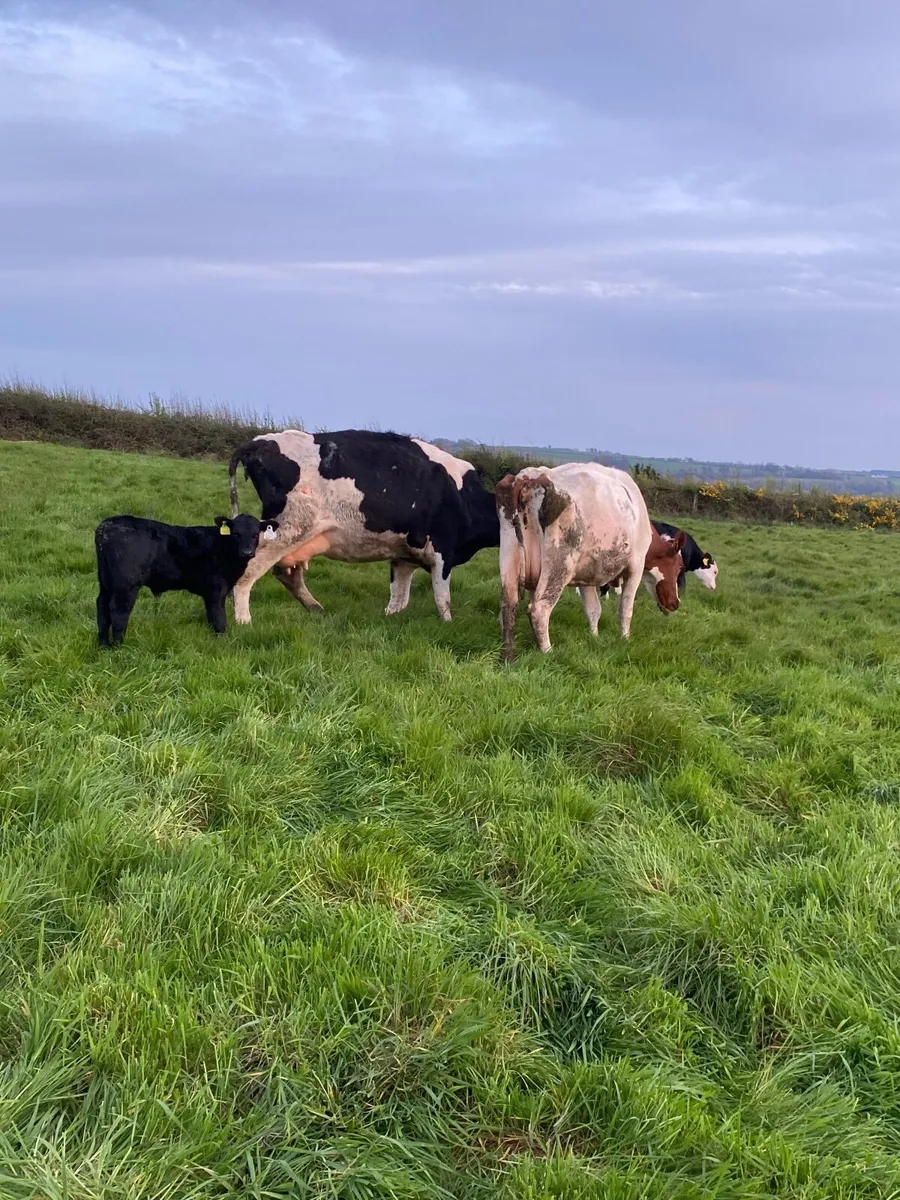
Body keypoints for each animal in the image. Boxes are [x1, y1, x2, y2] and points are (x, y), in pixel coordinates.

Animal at [95, 513, 279, 646]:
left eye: (255, 534)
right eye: (236, 534)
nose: (246, 552)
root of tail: (108, 523)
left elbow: (211, 618)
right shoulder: (216, 591)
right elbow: (218, 619)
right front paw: (222, 643)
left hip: (105, 581)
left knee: (102, 605)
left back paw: (103, 645)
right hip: (126, 585)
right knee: (119, 610)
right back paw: (118, 647)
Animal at [226, 429, 500, 624]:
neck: (464, 495)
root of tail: (261, 441)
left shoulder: (404, 557)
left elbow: (398, 600)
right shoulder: (443, 551)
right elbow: (443, 598)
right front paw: (447, 624)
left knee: (287, 574)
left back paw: (317, 609)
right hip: (283, 530)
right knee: (248, 572)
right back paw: (244, 621)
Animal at [496, 463, 685, 662]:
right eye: (679, 565)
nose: (676, 603)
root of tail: (530, 476)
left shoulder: (585, 573)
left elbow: (593, 609)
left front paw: (594, 637)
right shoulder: (636, 567)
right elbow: (626, 609)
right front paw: (625, 639)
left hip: (510, 555)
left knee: (508, 605)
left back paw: (507, 657)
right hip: (559, 564)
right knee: (539, 608)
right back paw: (548, 653)